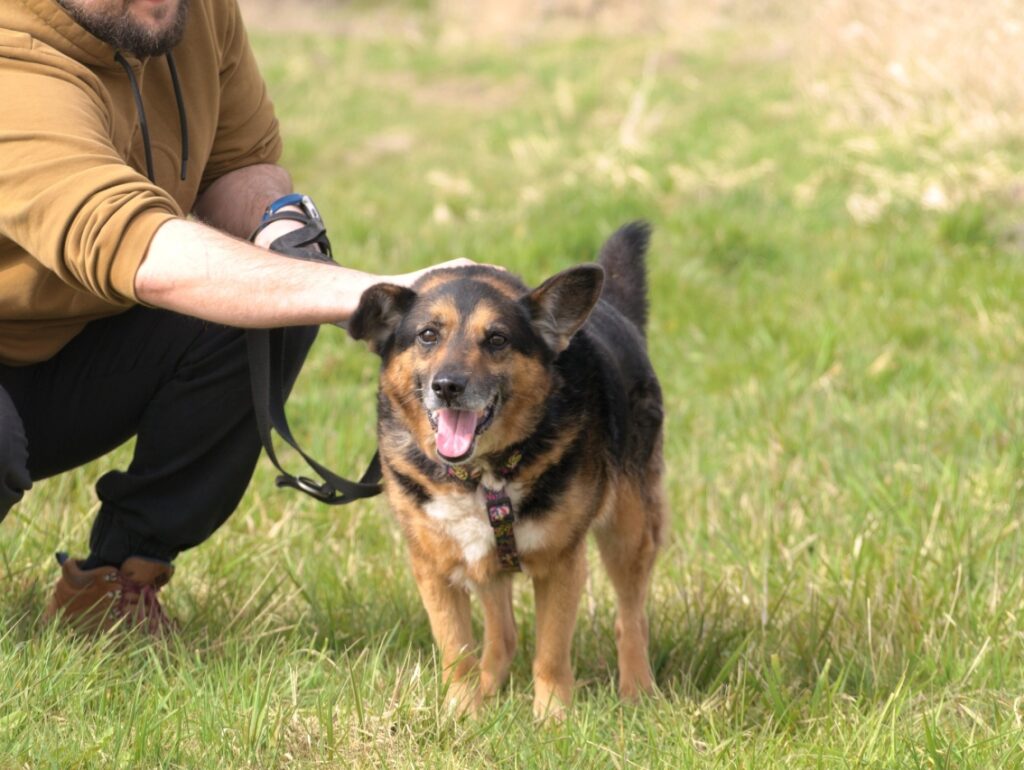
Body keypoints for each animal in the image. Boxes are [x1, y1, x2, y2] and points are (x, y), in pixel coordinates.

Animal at [348, 222, 667, 720]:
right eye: (427, 335)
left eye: (496, 339)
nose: (447, 386)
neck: (483, 476)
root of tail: (614, 308)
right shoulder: (434, 566)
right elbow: (457, 651)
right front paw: (462, 715)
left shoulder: (561, 564)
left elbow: (551, 654)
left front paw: (553, 720)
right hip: (486, 563)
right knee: (504, 635)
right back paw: (487, 687)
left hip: (630, 528)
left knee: (631, 616)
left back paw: (637, 690)